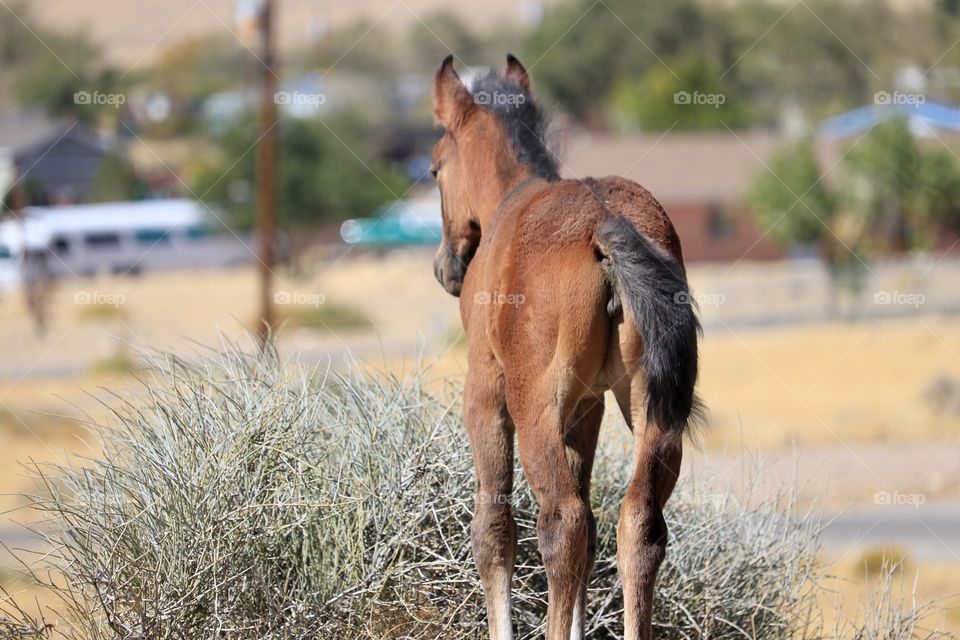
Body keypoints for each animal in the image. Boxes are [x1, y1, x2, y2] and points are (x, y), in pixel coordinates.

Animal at [432, 53, 700, 640]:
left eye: (434, 169)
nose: (447, 269)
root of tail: (606, 224)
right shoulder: (588, 406)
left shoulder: (486, 392)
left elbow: (494, 528)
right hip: (651, 408)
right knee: (636, 522)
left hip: (535, 409)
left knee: (562, 522)